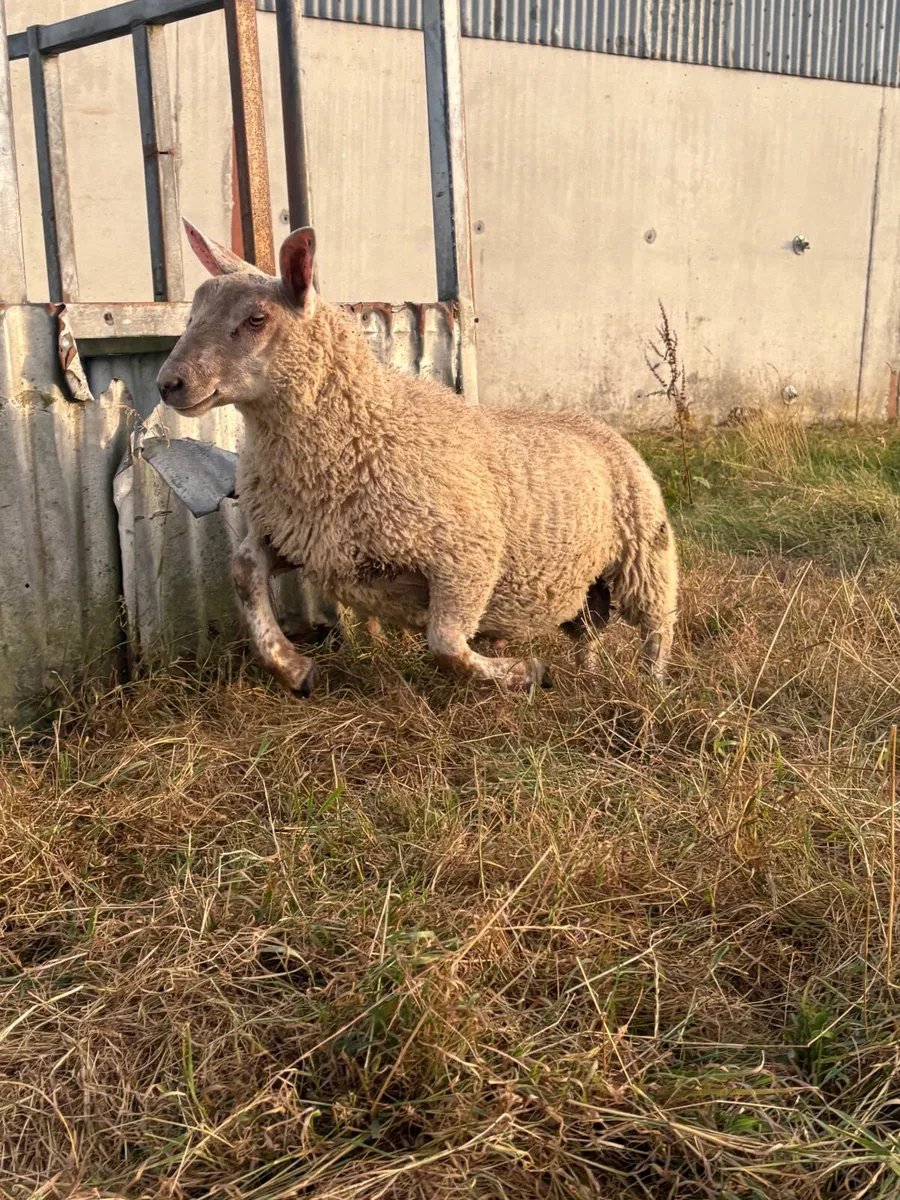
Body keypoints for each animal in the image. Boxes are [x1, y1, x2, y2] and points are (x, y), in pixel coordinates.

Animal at [156, 221, 678, 696]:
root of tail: (597, 423)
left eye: (256, 320)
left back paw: (650, 688)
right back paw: (589, 677)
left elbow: (445, 645)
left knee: (658, 627)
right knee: (588, 630)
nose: (169, 384)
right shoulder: (308, 539)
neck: (363, 429)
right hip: (586, 581)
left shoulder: (467, 557)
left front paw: (526, 672)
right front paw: (293, 668)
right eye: (192, 313)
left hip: (645, 552)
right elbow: (243, 571)